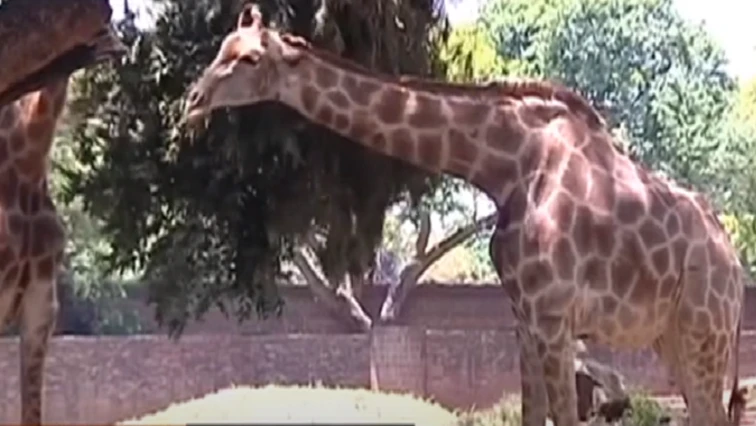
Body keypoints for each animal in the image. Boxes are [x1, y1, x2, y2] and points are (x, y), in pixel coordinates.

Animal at [182, 4, 746, 425]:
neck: (506, 166)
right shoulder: (524, 316)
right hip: (673, 336)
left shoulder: (554, 315)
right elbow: (532, 414)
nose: (193, 100)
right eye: (221, 49)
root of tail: (734, 263)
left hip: (705, 330)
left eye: (251, 58)